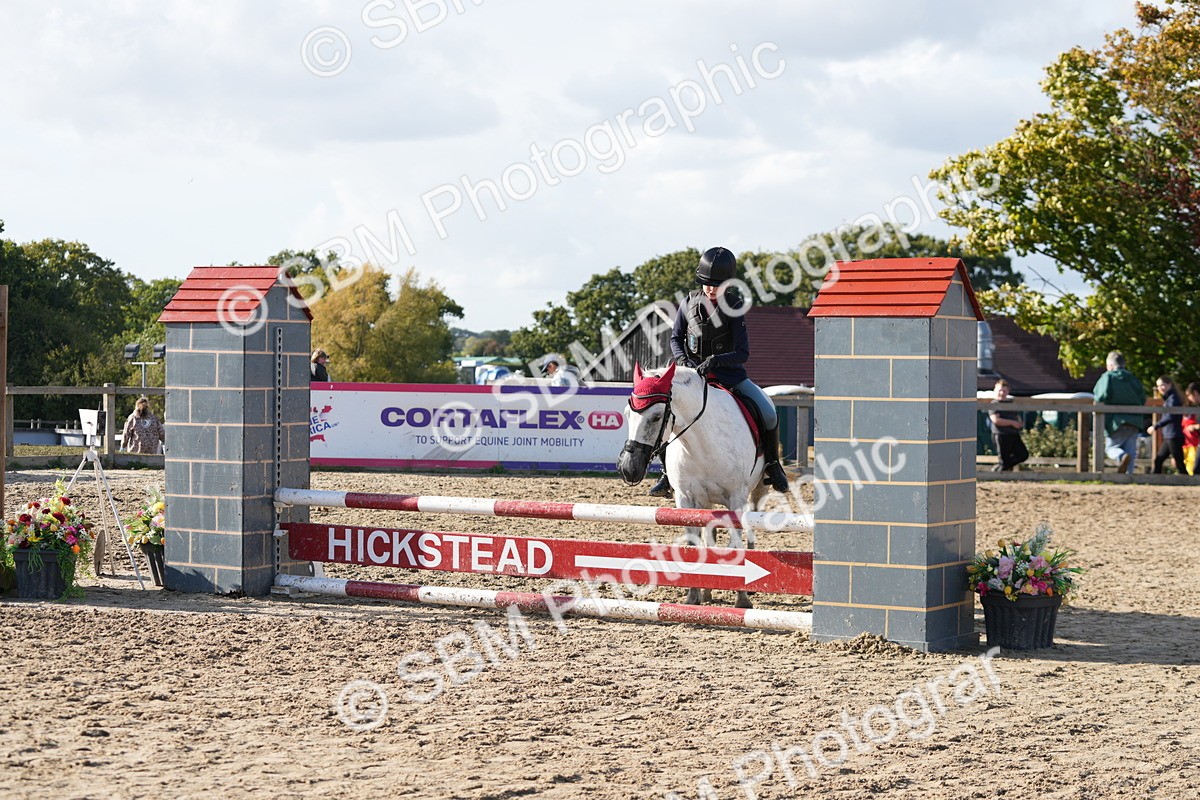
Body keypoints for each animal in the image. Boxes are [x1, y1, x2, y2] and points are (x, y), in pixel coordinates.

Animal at [616, 362, 768, 607]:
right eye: (627, 414)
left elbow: (736, 543)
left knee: (750, 531)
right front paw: (693, 596)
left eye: (656, 417)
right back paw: (708, 591)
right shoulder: (686, 499)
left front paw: (742, 599)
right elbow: (695, 545)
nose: (629, 468)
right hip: (706, 503)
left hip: (756, 492)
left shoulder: (736, 499)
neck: (703, 442)